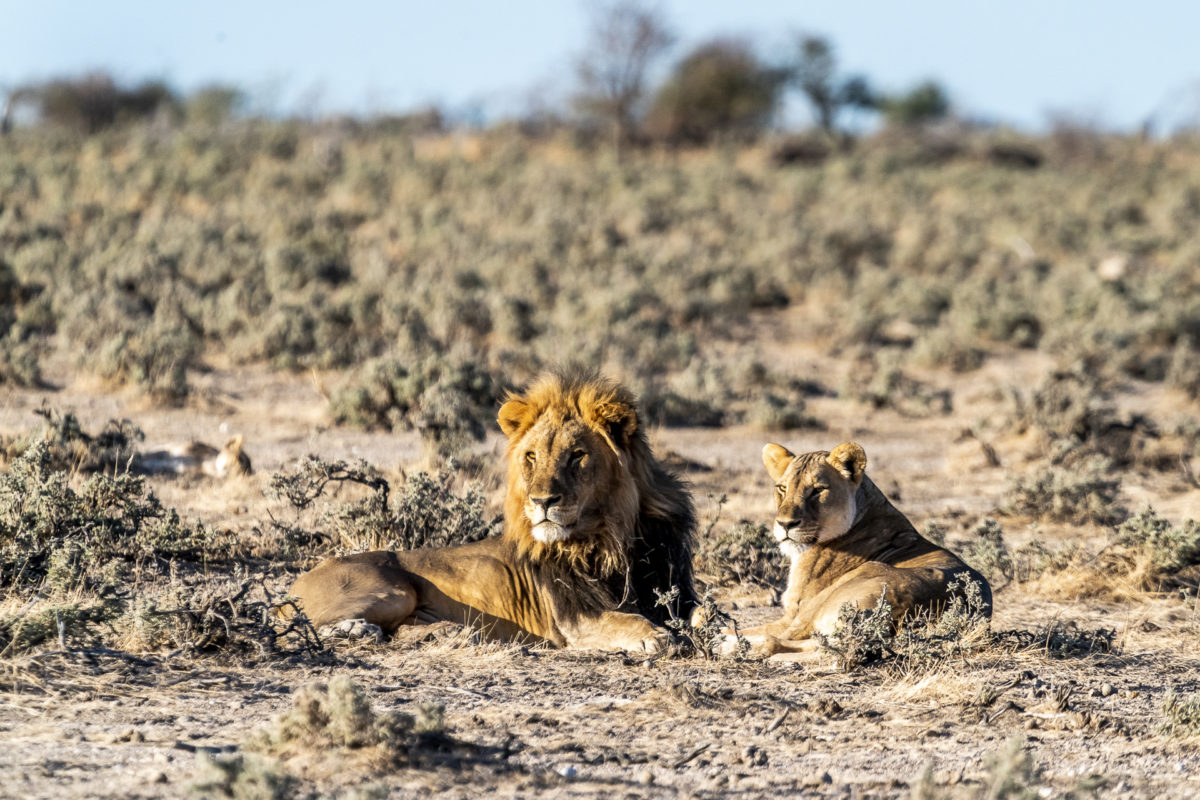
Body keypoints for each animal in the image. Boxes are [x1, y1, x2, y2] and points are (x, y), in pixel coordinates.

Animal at [289, 371, 700, 652]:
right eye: (531, 456)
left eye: (577, 456)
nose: (542, 501)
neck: (612, 537)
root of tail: (298, 580)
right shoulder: (575, 619)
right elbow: (625, 618)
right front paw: (657, 636)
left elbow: (704, 615)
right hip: (393, 591)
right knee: (304, 624)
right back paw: (357, 630)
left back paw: (449, 631)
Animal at [734, 441, 988, 662]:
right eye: (782, 488)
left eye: (818, 490)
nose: (785, 524)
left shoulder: (792, 613)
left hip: (827, 599)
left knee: (777, 640)